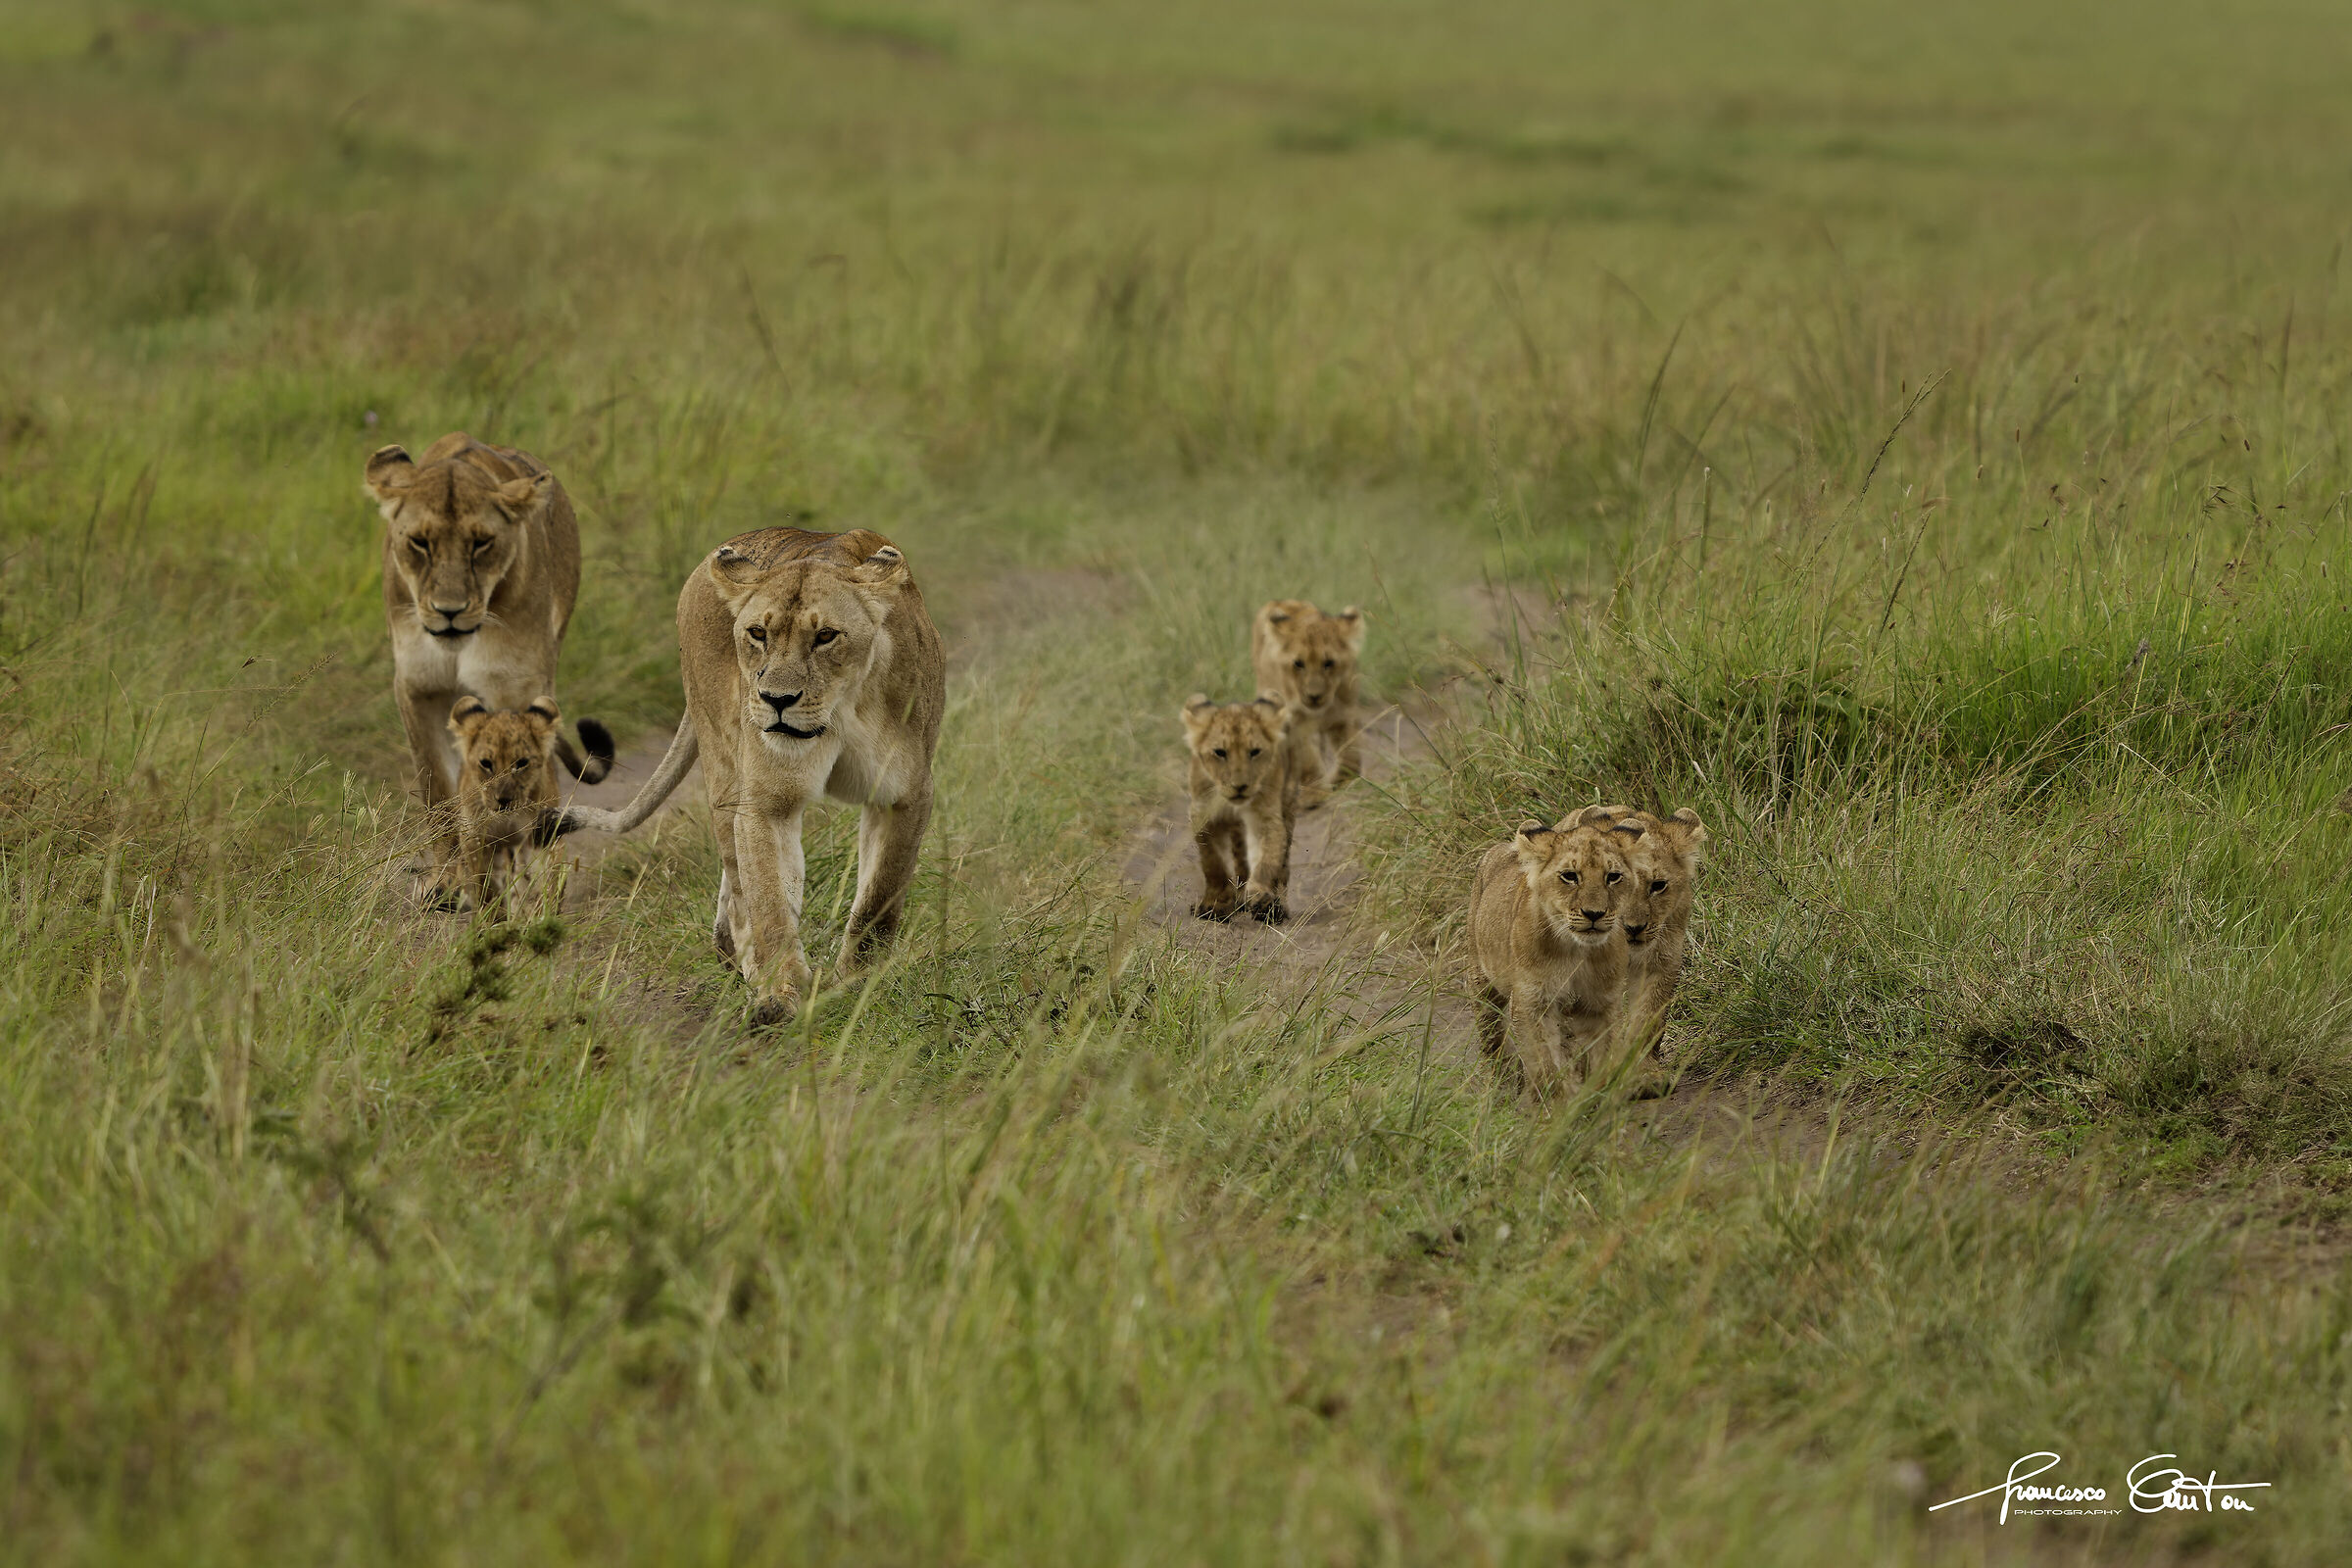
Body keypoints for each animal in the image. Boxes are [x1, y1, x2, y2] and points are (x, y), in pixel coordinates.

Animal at [447, 696, 563, 910]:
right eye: (486, 763)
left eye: (522, 763)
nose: (503, 800)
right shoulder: (475, 840)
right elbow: (485, 886)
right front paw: (491, 914)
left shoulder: (543, 833)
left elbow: (548, 878)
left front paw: (544, 911)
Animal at [546, 527, 945, 1025]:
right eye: (758, 633)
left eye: (826, 636)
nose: (777, 699)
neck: (842, 710)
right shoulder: (766, 802)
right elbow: (770, 901)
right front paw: (780, 995)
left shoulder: (906, 795)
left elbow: (879, 897)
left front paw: (857, 984)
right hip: (721, 761)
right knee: (737, 881)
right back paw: (746, 963)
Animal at [1181, 695, 1299, 924]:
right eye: (1220, 752)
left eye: (1254, 752)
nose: (1240, 786)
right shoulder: (1204, 816)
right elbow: (1214, 862)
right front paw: (1215, 905)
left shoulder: (1265, 817)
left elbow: (1266, 859)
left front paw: (1261, 898)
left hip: (1288, 803)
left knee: (1282, 864)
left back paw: (1276, 907)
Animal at [1251, 599, 1365, 804]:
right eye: (1298, 664)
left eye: (1329, 663)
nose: (1314, 696)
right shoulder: (1297, 719)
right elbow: (1307, 757)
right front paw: (1315, 794)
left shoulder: (1344, 713)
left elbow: (1351, 751)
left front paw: (1342, 780)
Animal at [1466, 806, 1638, 1095]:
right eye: (1570, 876)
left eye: (1613, 877)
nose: (1594, 914)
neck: (1577, 951)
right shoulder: (1530, 1003)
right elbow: (1545, 1063)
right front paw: (1554, 1101)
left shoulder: (1601, 1003)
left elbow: (1602, 1057)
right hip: (1482, 982)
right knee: (1492, 1036)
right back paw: (1502, 1086)